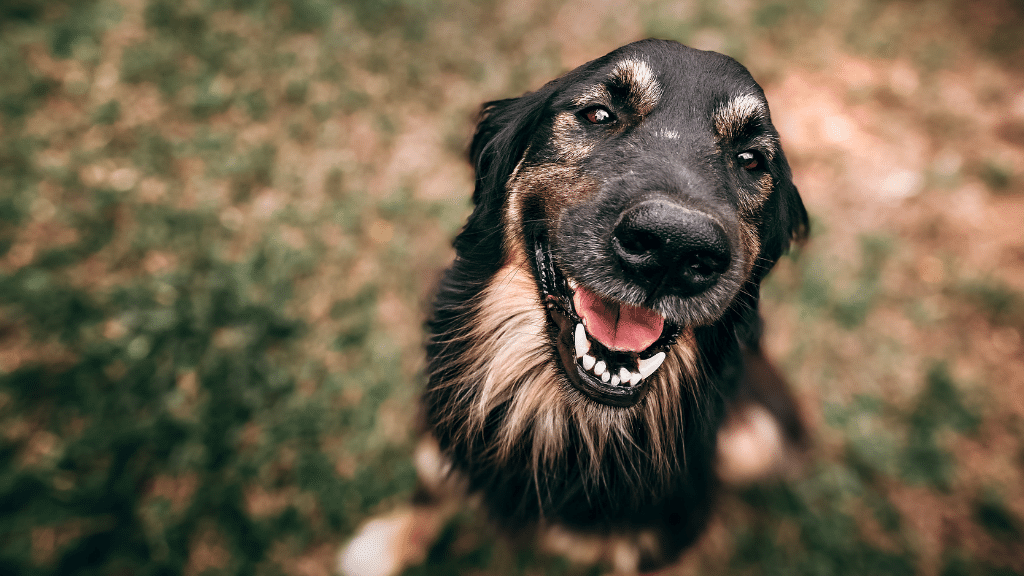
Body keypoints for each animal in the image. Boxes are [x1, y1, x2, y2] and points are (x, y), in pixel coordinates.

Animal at [342, 38, 806, 569]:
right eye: (599, 114)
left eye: (750, 160)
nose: (672, 248)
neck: (567, 419)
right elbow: (431, 482)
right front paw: (389, 544)